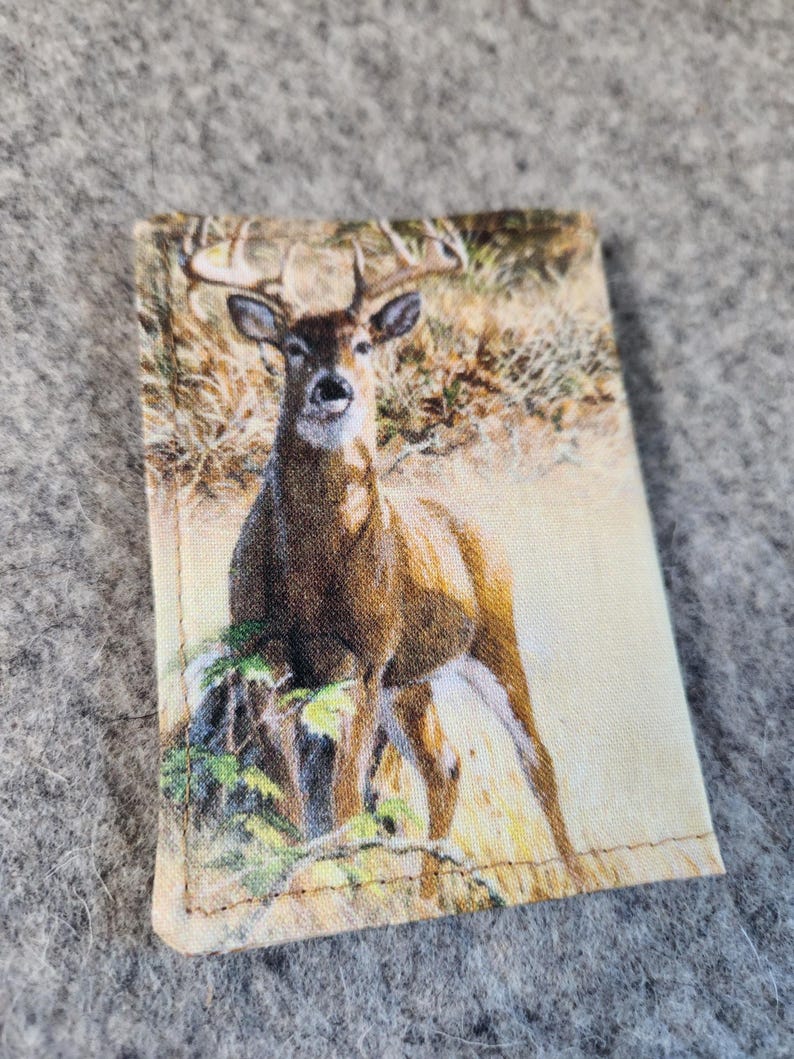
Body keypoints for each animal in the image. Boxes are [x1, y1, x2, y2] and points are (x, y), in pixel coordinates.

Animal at [181, 217, 581, 896]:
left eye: (364, 344)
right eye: (293, 345)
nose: (332, 387)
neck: (311, 572)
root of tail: (479, 528)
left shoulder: (365, 653)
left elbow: (343, 800)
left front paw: (346, 880)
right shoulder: (263, 650)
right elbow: (289, 797)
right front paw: (305, 885)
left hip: (491, 641)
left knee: (537, 760)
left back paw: (574, 874)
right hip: (411, 679)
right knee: (445, 764)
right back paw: (426, 890)